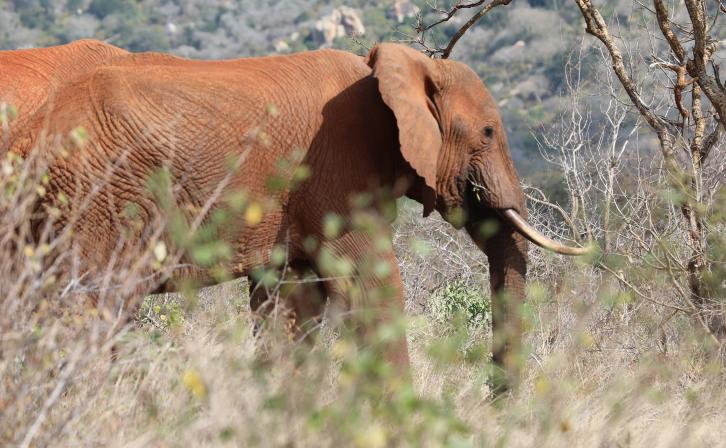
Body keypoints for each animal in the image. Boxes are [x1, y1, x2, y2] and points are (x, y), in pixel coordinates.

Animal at [6, 40, 588, 392]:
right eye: (488, 132)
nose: (496, 399)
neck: (386, 71)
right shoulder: (338, 170)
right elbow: (368, 283)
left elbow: (291, 301)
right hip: (96, 199)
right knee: (89, 309)